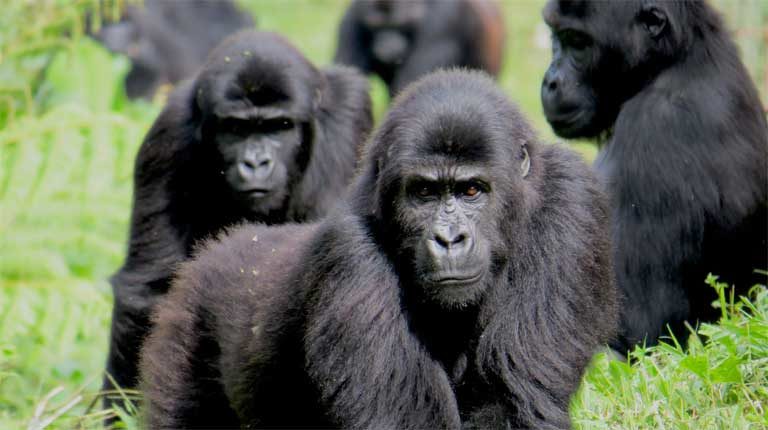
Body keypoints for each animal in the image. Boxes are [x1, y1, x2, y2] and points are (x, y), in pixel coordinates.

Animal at [103, 31, 374, 410]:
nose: (256, 163)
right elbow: (150, 287)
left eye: (280, 126)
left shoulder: (347, 119)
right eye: (235, 128)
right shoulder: (169, 131)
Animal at [138, 70, 616, 430]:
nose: (449, 239)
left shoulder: (570, 202)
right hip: (185, 327)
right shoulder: (350, 252)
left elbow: (510, 403)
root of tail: (215, 251)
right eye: (423, 193)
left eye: (471, 190)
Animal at [540, 0, 768, 352]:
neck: (676, 60)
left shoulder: (652, 132)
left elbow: (632, 333)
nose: (551, 80)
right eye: (556, 36)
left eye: (578, 42)